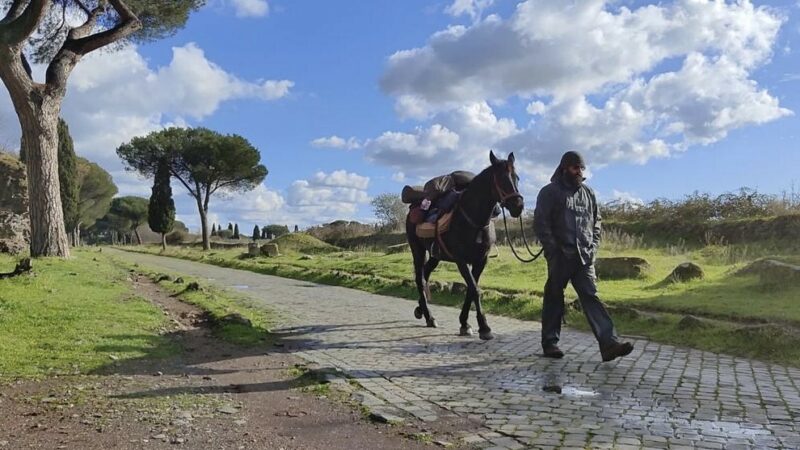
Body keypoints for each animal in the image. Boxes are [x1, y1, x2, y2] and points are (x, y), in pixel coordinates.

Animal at [406, 149, 524, 340]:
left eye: (517, 178)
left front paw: (465, 323)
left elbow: (471, 289)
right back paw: (429, 317)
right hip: (417, 249)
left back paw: (421, 310)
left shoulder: (481, 260)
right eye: (501, 179)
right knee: (419, 277)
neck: (473, 219)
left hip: (435, 255)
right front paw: (484, 327)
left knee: (426, 273)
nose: (518, 206)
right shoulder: (461, 260)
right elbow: (474, 289)